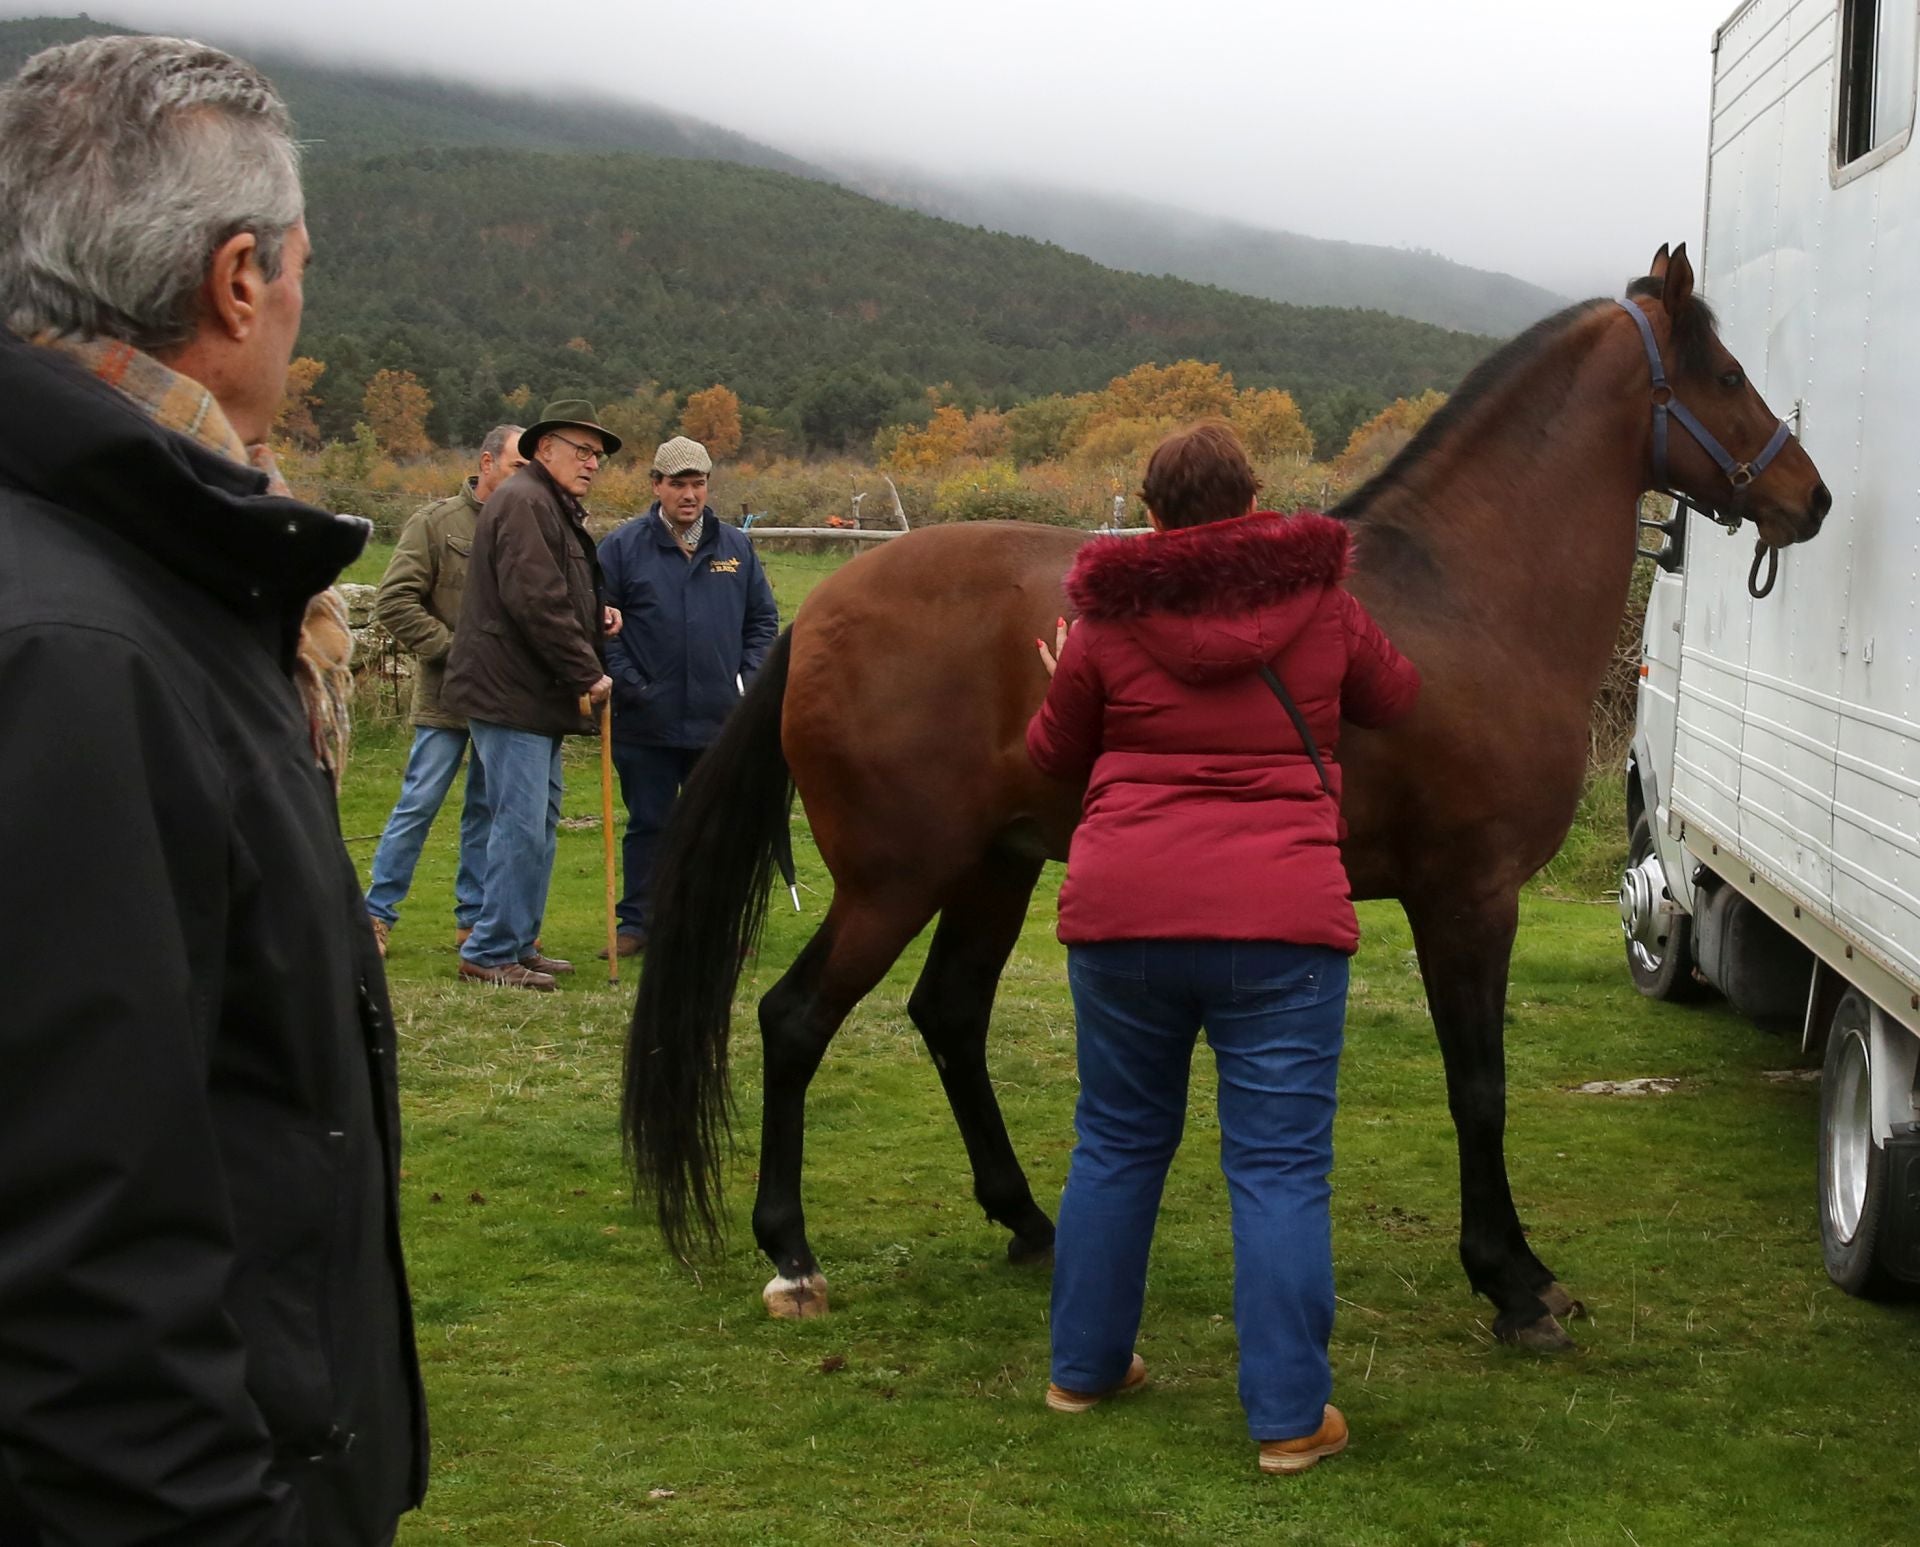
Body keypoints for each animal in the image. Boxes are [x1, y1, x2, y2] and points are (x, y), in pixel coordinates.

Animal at [618, 247, 1827, 1351]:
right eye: (1724, 372)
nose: (1807, 496)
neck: (1461, 598)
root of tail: (822, 614)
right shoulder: (1469, 896)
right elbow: (1478, 1085)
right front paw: (1513, 1280)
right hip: (892, 880)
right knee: (795, 1019)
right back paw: (792, 1249)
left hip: (994, 869)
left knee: (949, 1015)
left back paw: (1029, 1220)